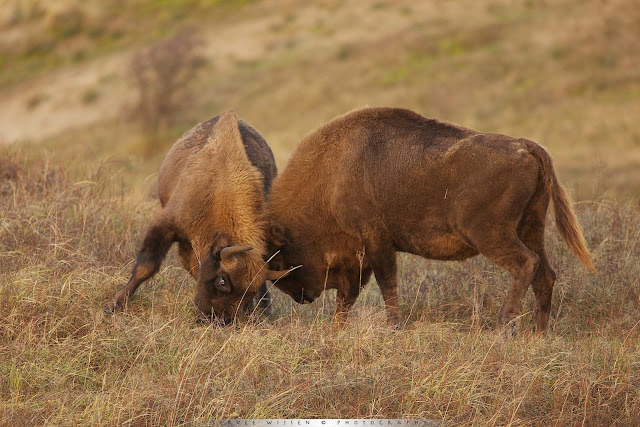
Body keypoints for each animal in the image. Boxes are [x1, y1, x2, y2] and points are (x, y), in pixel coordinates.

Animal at [105, 112, 290, 322]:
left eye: (247, 293)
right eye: (222, 281)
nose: (217, 319)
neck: (220, 191)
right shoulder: (167, 224)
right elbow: (146, 266)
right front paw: (114, 305)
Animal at [264, 108, 596, 334]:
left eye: (282, 259)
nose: (303, 298)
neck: (331, 175)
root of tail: (527, 146)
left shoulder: (375, 240)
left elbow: (386, 284)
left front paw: (394, 326)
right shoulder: (362, 255)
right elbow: (349, 296)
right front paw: (337, 329)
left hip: (491, 234)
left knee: (526, 263)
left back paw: (503, 325)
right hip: (531, 226)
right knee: (545, 272)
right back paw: (538, 334)